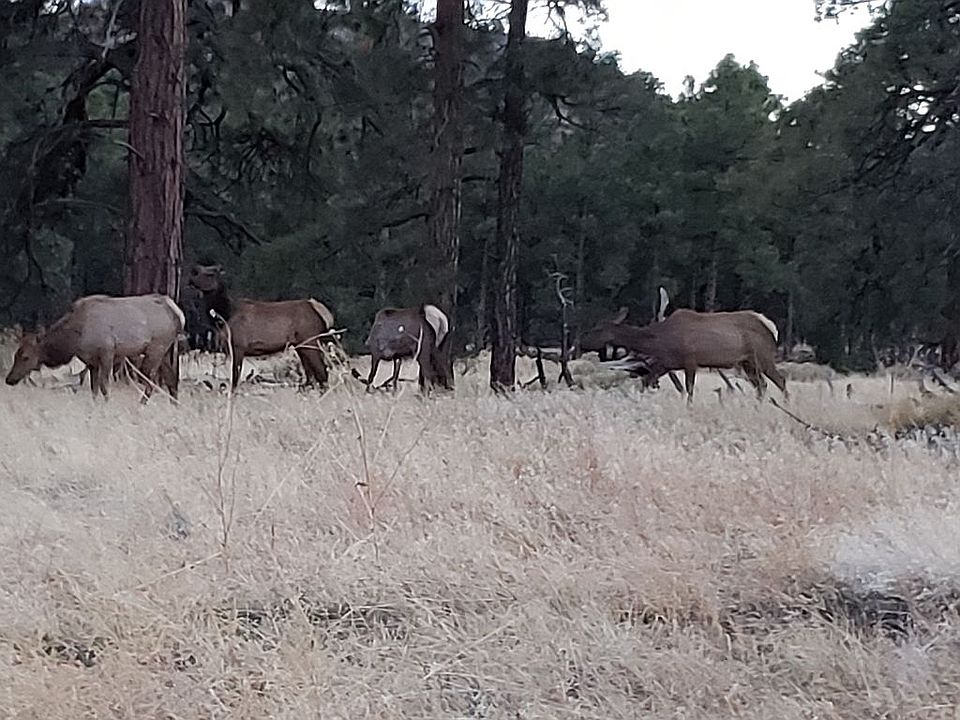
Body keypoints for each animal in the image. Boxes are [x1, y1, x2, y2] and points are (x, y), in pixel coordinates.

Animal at [5, 293, 184, 399]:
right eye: (15, 355)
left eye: (26, 356)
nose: (9, 379)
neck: (75, 338)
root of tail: (178, 314)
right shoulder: (91, 361)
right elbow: (94, 389)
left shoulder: (107, 352)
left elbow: (104, 387)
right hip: (167, 350)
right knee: (172, 380)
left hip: (156, 348)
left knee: (150, 381)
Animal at [188, 264, 337, 391]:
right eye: (198, 271)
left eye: (211, 274)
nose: (191, 279)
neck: (224, 315)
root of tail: (324, 313)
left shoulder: (238, 345)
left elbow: (235, 377)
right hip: (301, 345)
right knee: (310, 375)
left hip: (310, 339)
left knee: (322, 371)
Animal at [580, 305, 787, 404]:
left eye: (597, 328)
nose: (581, 342)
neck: (660, 341)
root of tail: (772, 328)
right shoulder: (666, 363)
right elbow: (646, 382)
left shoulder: (690, 360)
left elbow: (689, 389)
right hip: (747, 362)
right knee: (761, 385)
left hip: (763, 356)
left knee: (780, 380)